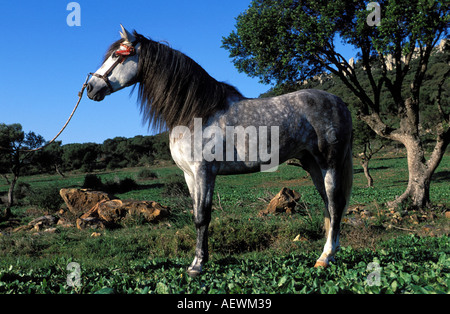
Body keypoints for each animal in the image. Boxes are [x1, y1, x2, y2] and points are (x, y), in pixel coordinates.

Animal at [86, 25, 354, 278]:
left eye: (118, 56)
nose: (90, 87)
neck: (197, 111)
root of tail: (340, 102)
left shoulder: (204, 172)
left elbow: (202, 217)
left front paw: (197, 266)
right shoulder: (189, 176)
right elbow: (196, 215)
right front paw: (199, 260)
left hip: (329, 164)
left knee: (335, 205)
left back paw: (324, 258)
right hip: (312, 164)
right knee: (329, 206)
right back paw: (328, 254)